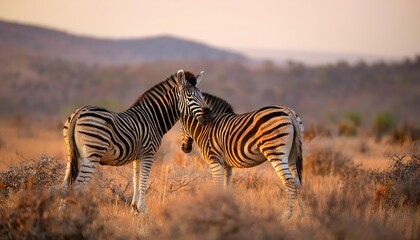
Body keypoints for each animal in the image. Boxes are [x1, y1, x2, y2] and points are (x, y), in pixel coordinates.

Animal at [61, 70, 213, 214]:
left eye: (202, 96)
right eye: (190, 97)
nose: (209, 116)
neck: (153, 118)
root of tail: (79, 112)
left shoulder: (137, 157)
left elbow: (136, 180)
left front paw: (135, 210)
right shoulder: (148, 153)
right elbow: (144, 181)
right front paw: (143, 210)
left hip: (71, 154)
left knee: (65, 186)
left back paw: (63, 215)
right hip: (92, 153)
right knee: (76, 187)